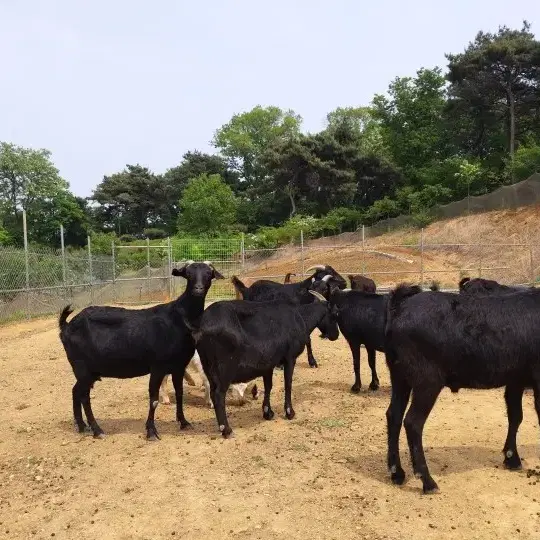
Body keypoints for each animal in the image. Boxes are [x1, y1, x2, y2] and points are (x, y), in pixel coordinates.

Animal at [60, 264, 225, 440]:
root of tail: (66, 326)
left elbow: (179, 393)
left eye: (208, 273)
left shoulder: (179, 366)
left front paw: (184, 422)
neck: (178, 319)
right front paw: (151, 431)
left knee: (75, 391)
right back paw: (97, 430)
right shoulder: (157, 367)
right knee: (84, 396)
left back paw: (82, 426)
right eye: (188, 274)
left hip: (88, 371)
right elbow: (153, 399)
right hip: (81, 367)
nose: (198, 289)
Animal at [188, 288, 336, 436]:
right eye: (334, 314)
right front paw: (290, 413)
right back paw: (226, 429)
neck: (299, 317)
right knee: (219, 394)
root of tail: (201, 328)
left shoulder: (268, 364)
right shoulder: (290, 358)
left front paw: (268, 413)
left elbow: (268, 386)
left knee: (212, 390)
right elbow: (288, 384)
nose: (335, 336)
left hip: (208, 367)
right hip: (224, 368)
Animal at [386, 284, 540, 496]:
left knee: (394, 415)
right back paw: (428, 481)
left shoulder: (516, 379)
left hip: (399, 377)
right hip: (427, 381)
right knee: (413, 422)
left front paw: (512, 459)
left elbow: (515, 416)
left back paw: (397, 473)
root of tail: (401, 307)